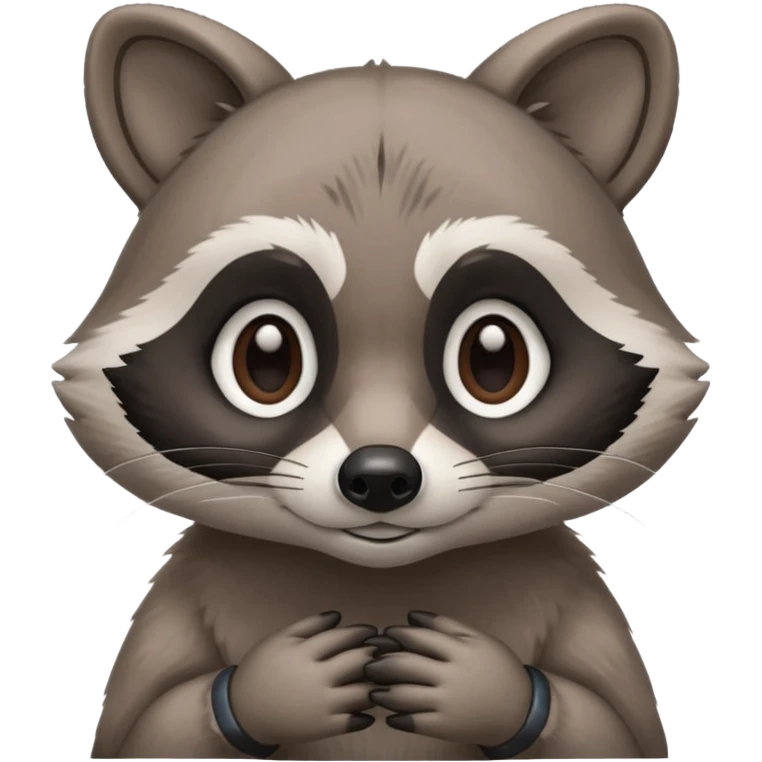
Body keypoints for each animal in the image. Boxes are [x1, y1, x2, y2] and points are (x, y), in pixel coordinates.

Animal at [60, 3, 705, 759]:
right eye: (267, 358)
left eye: (494, 358)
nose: (378, 477)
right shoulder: (178, 592)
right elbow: (144, 729)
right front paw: (277, 686)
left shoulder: (579, 592)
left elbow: (615, 729)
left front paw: (484, 687)